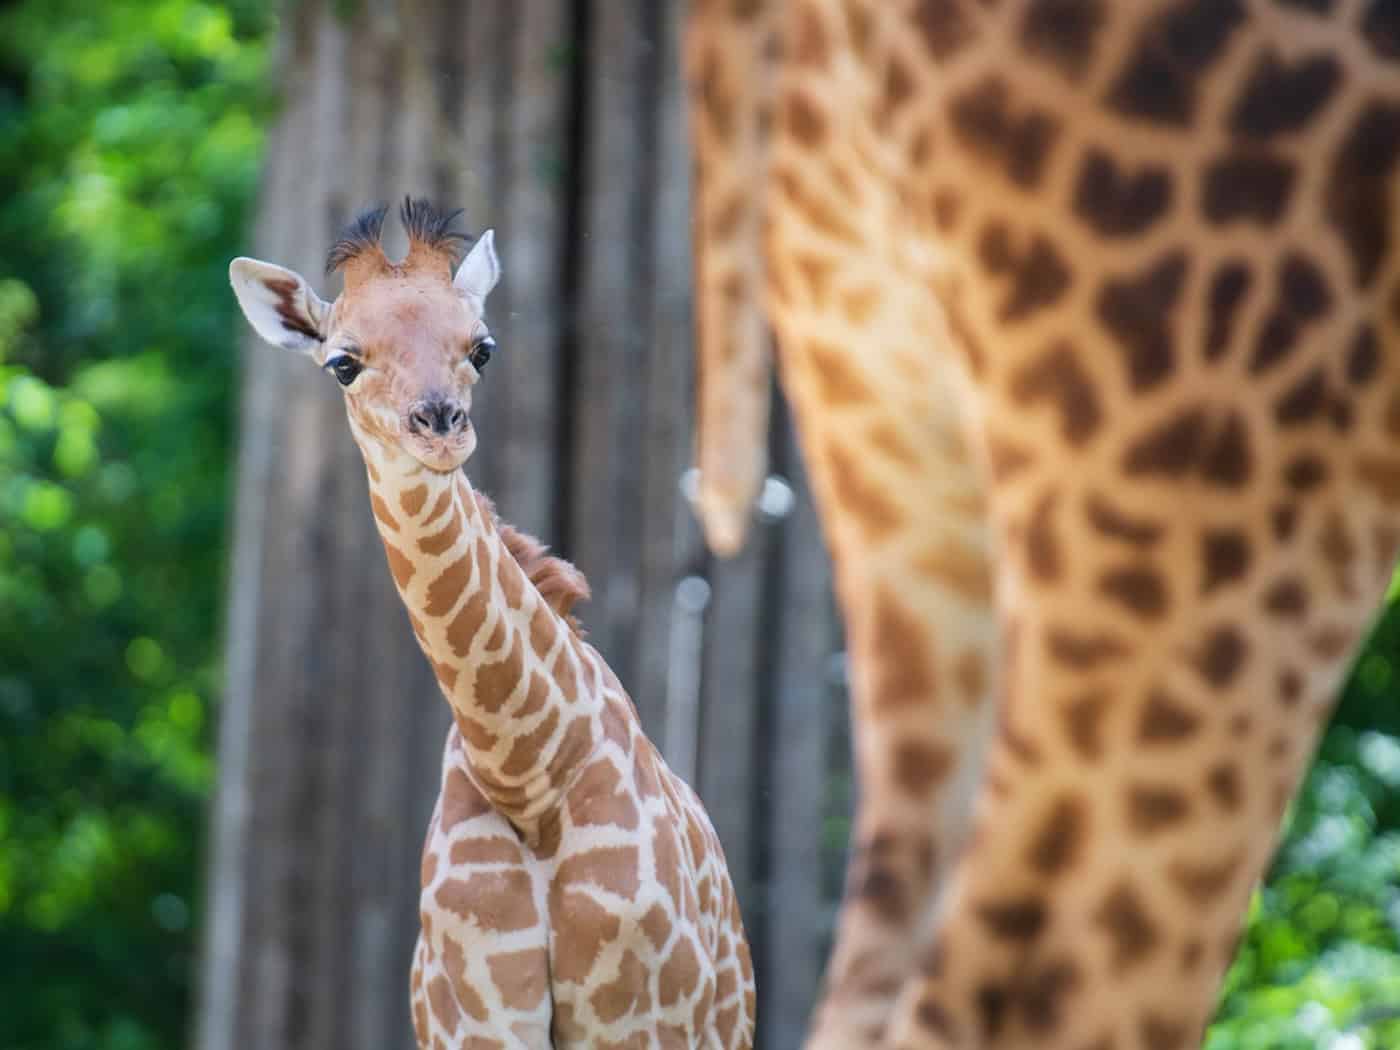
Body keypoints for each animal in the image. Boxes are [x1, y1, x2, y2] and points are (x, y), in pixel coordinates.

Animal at [229, 198, 756, 1049]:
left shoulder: (640, 1022)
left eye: (482, 347)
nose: (440, 426)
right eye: (342, 362)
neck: (527, 773)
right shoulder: (476, 1023)